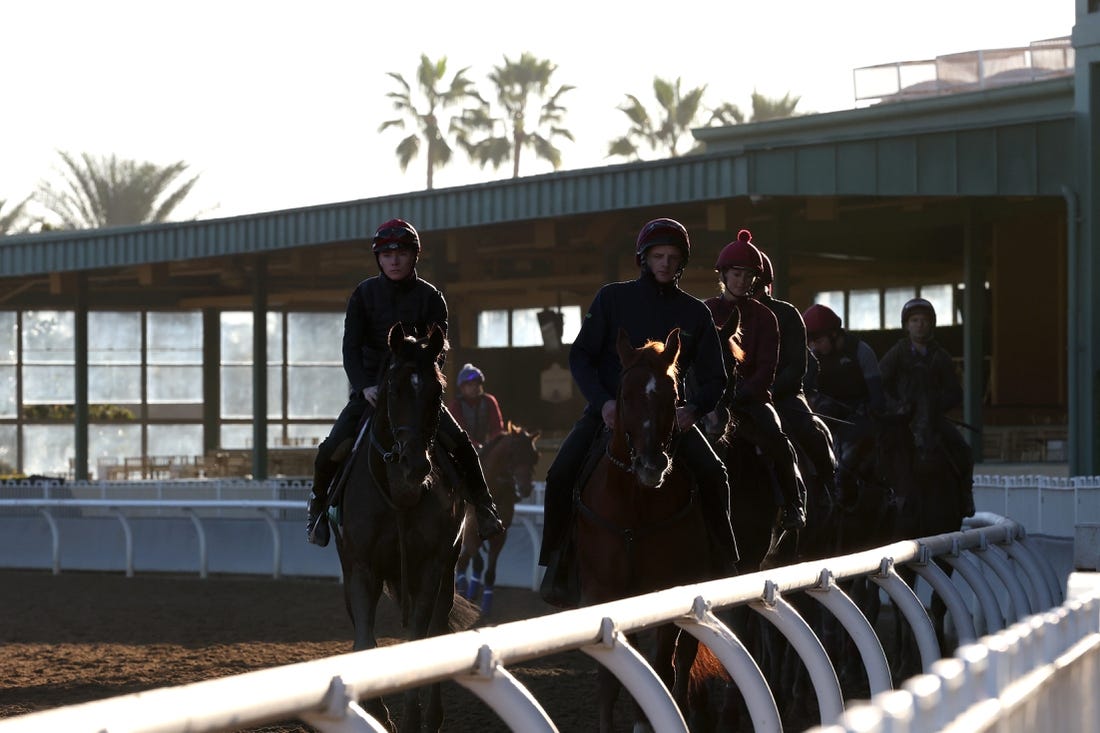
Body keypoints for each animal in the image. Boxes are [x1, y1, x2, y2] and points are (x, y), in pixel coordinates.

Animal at [330, 321, 477, 730]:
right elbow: (364, 639)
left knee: (437, 628)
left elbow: (418, 640)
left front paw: (411, 718)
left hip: (448, 567)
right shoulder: (362, 567)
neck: (398, 493)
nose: (416, 466)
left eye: (437, 391)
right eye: (393, 389)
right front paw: (377, 712)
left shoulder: (430, 565)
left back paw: (433, 716)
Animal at [455, 420, 541, 611]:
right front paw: (468, 589)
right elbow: (475, 562)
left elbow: (489, 571)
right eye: (513, 454)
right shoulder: (470, 530)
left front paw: (486, 603)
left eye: (534, 456)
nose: (525, 489)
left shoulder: (501, 533)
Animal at [572, 325, 717, 730]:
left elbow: (661, 670)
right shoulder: (606, 593)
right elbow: (613, 678)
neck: (635, 508)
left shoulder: (668, 590)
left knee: (682, 661)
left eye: (673, 395)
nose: (652, 466)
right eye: (625, 395)